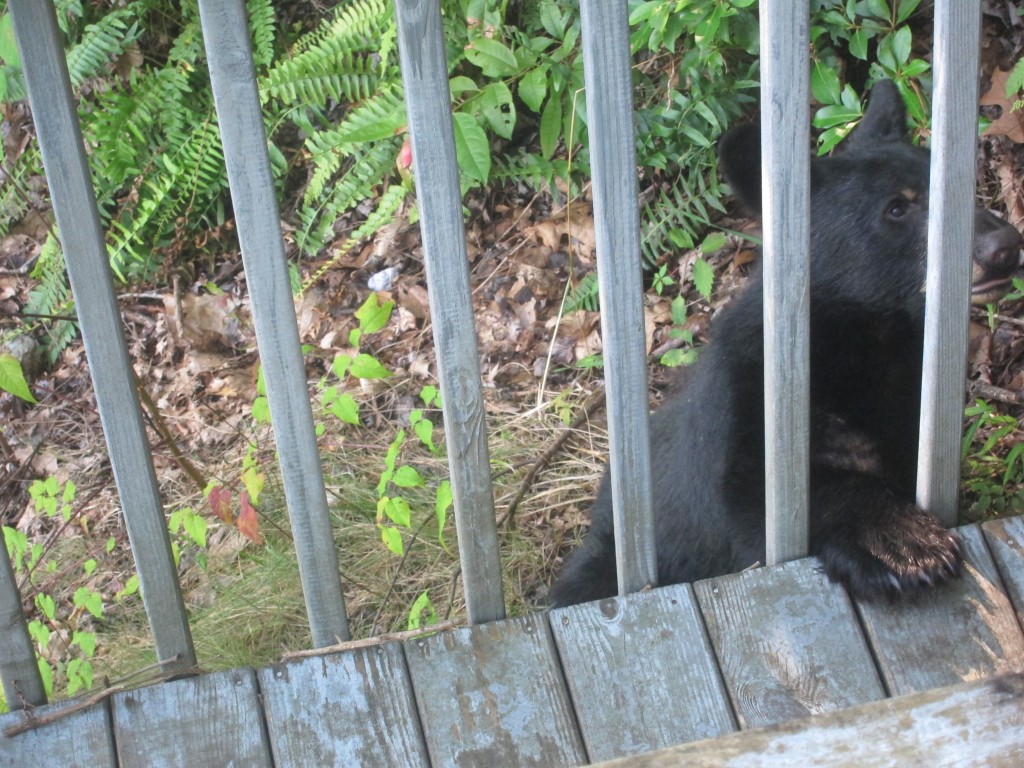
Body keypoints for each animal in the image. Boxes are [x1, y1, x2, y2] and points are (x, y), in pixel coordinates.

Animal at [552, 81, 1024, 610]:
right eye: (897, 208)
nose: (1005, 246)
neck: (864, 340)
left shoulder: (904, 395)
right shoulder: (744, 409)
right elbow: (768, 500)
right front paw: (902, 544)